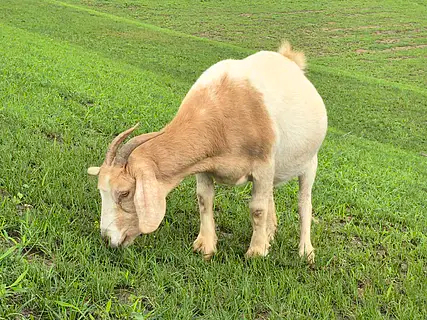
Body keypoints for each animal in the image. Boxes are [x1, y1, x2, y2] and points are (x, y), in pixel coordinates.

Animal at [87, 41, 328, 262]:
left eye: (125, 193)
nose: (107, 238)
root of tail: (290, 59)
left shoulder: (263, 165)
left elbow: (257, 209)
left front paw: (256, 252)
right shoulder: (204, 165)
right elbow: (204, 199)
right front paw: (205, 246)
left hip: (310, 161)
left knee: (303, 202)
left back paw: (306, 252)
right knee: (270, 195)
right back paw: (270, 233)